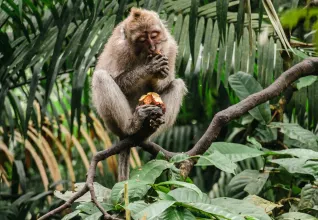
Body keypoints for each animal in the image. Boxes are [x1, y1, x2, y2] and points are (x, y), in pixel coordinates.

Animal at [91, 7, 186, 181]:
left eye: (154, 35)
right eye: (142, 39)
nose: (153, 47)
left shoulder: (170, 46)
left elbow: (164, 85)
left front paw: (160, 72)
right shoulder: (119, 48)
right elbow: (116, 79)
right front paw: (149, 68)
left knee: (177, 84)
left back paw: (151, 126)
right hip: (111, 123)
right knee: (101, 77)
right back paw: (132, 126)